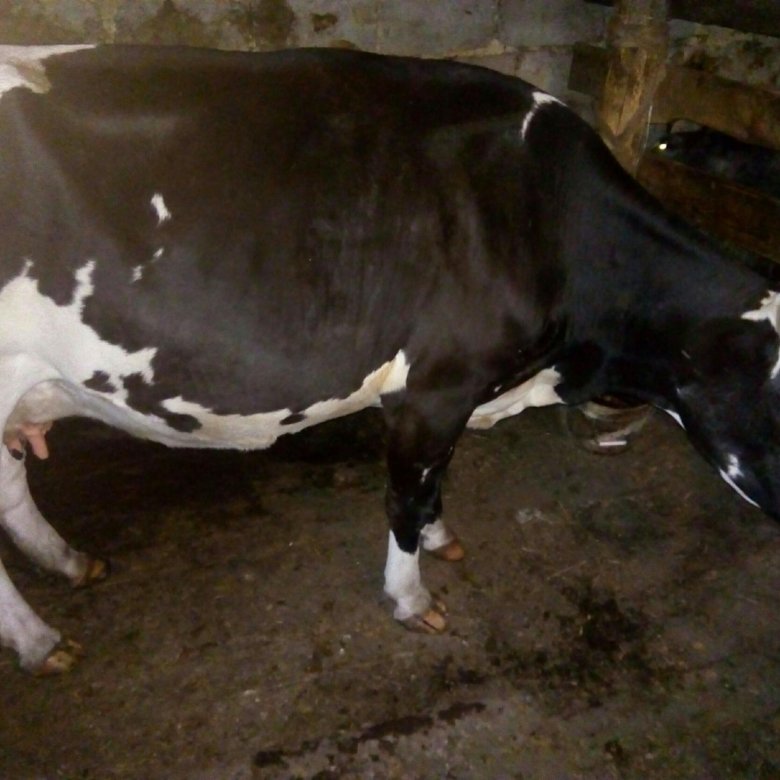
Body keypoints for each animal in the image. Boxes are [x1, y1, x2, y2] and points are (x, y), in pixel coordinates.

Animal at [0, 44, 778, 675]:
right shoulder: (438, 385)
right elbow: (407, 495)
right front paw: (411, 597)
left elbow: (434, 484)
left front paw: (440, 537)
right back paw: (40, 641)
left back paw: (68, 562)